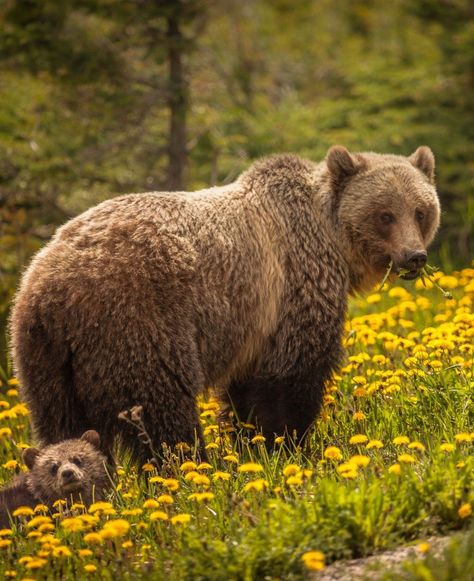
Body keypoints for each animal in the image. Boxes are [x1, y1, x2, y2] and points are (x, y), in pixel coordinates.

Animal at [10, 145, 440, 462]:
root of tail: (49, 287)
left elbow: (246, 392)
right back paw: (188, 467)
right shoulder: (292, 288)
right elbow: (293, 377)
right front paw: (288, 447)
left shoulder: (254, 324)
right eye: (385, 214)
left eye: (421, 211)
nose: (414, 257)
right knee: (161, 408)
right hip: (135, 322)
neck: (332, 240)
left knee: (62, 426)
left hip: (45, 359)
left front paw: (251, 445)